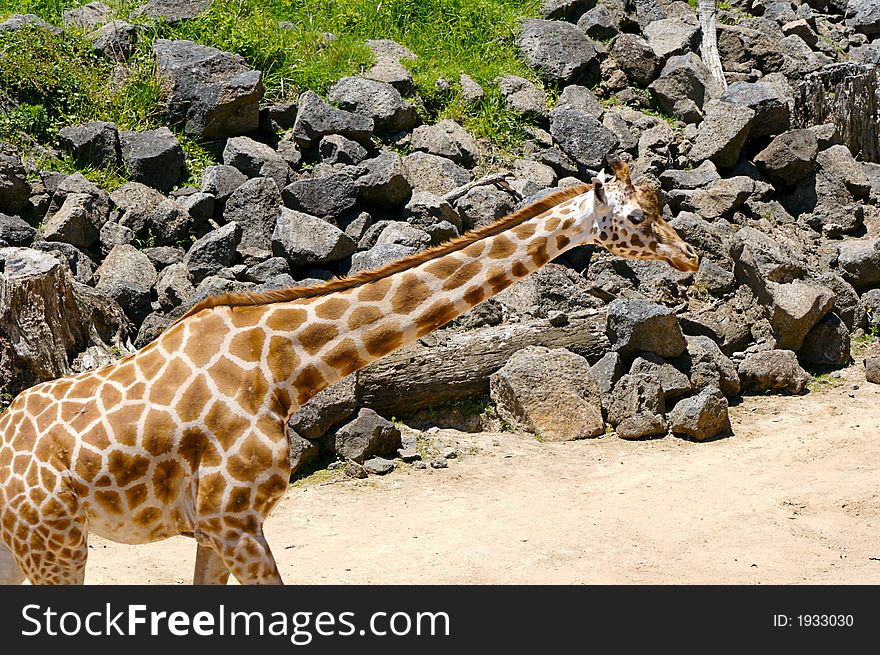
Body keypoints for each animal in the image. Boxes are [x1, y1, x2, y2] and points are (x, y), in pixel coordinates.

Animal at [0, 158, 700, 584]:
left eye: (658, 204)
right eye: (638, 217)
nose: (691, 257)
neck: (282, 368)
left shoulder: (213, 528)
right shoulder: (232, 517)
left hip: (22, 548)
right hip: (56, 543)